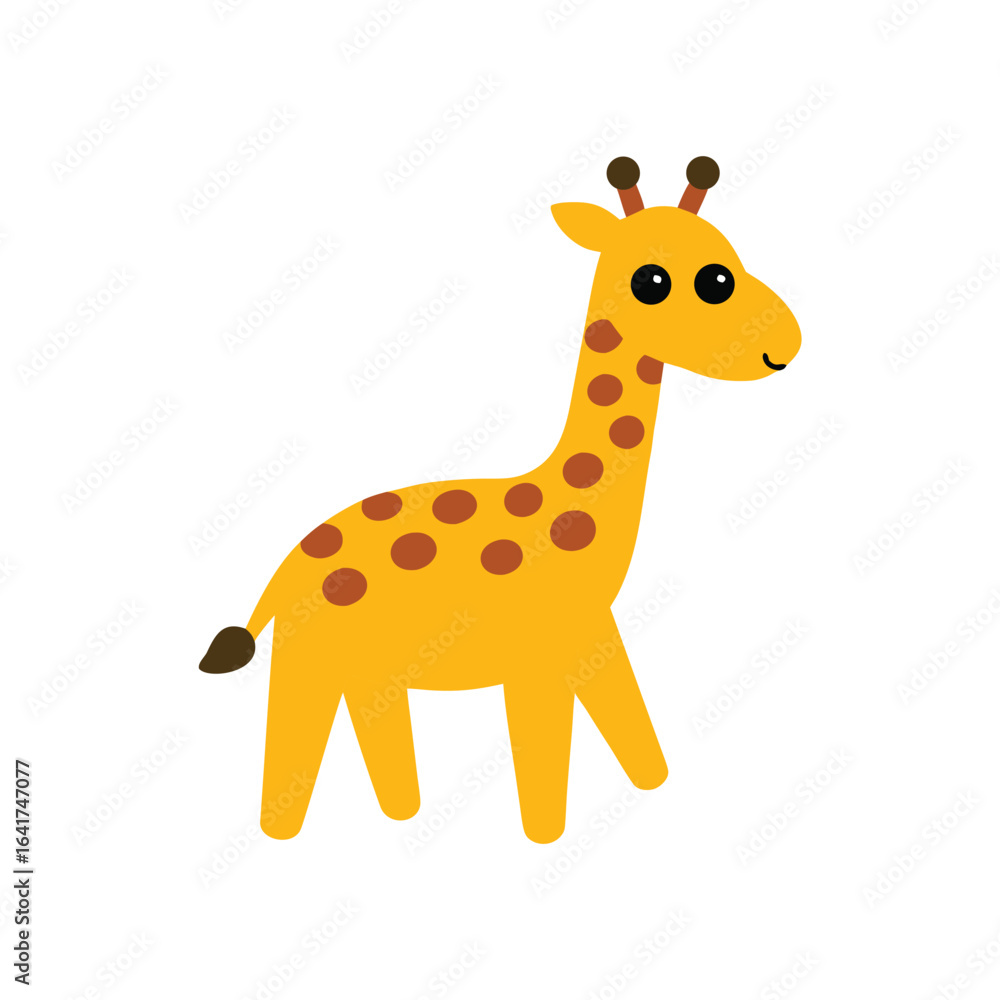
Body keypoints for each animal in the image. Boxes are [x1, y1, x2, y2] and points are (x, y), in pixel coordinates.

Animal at [200, 155, 801, 843]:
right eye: (661, 280)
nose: (784, 344)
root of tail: (281, 573)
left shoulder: (592, 634)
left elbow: (630, 725)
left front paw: (655, 790)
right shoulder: (533, 657)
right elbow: (543, 749)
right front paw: (545, 839)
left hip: (367, 666)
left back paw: (402, 814)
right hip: (307, 660)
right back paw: (286, 833)